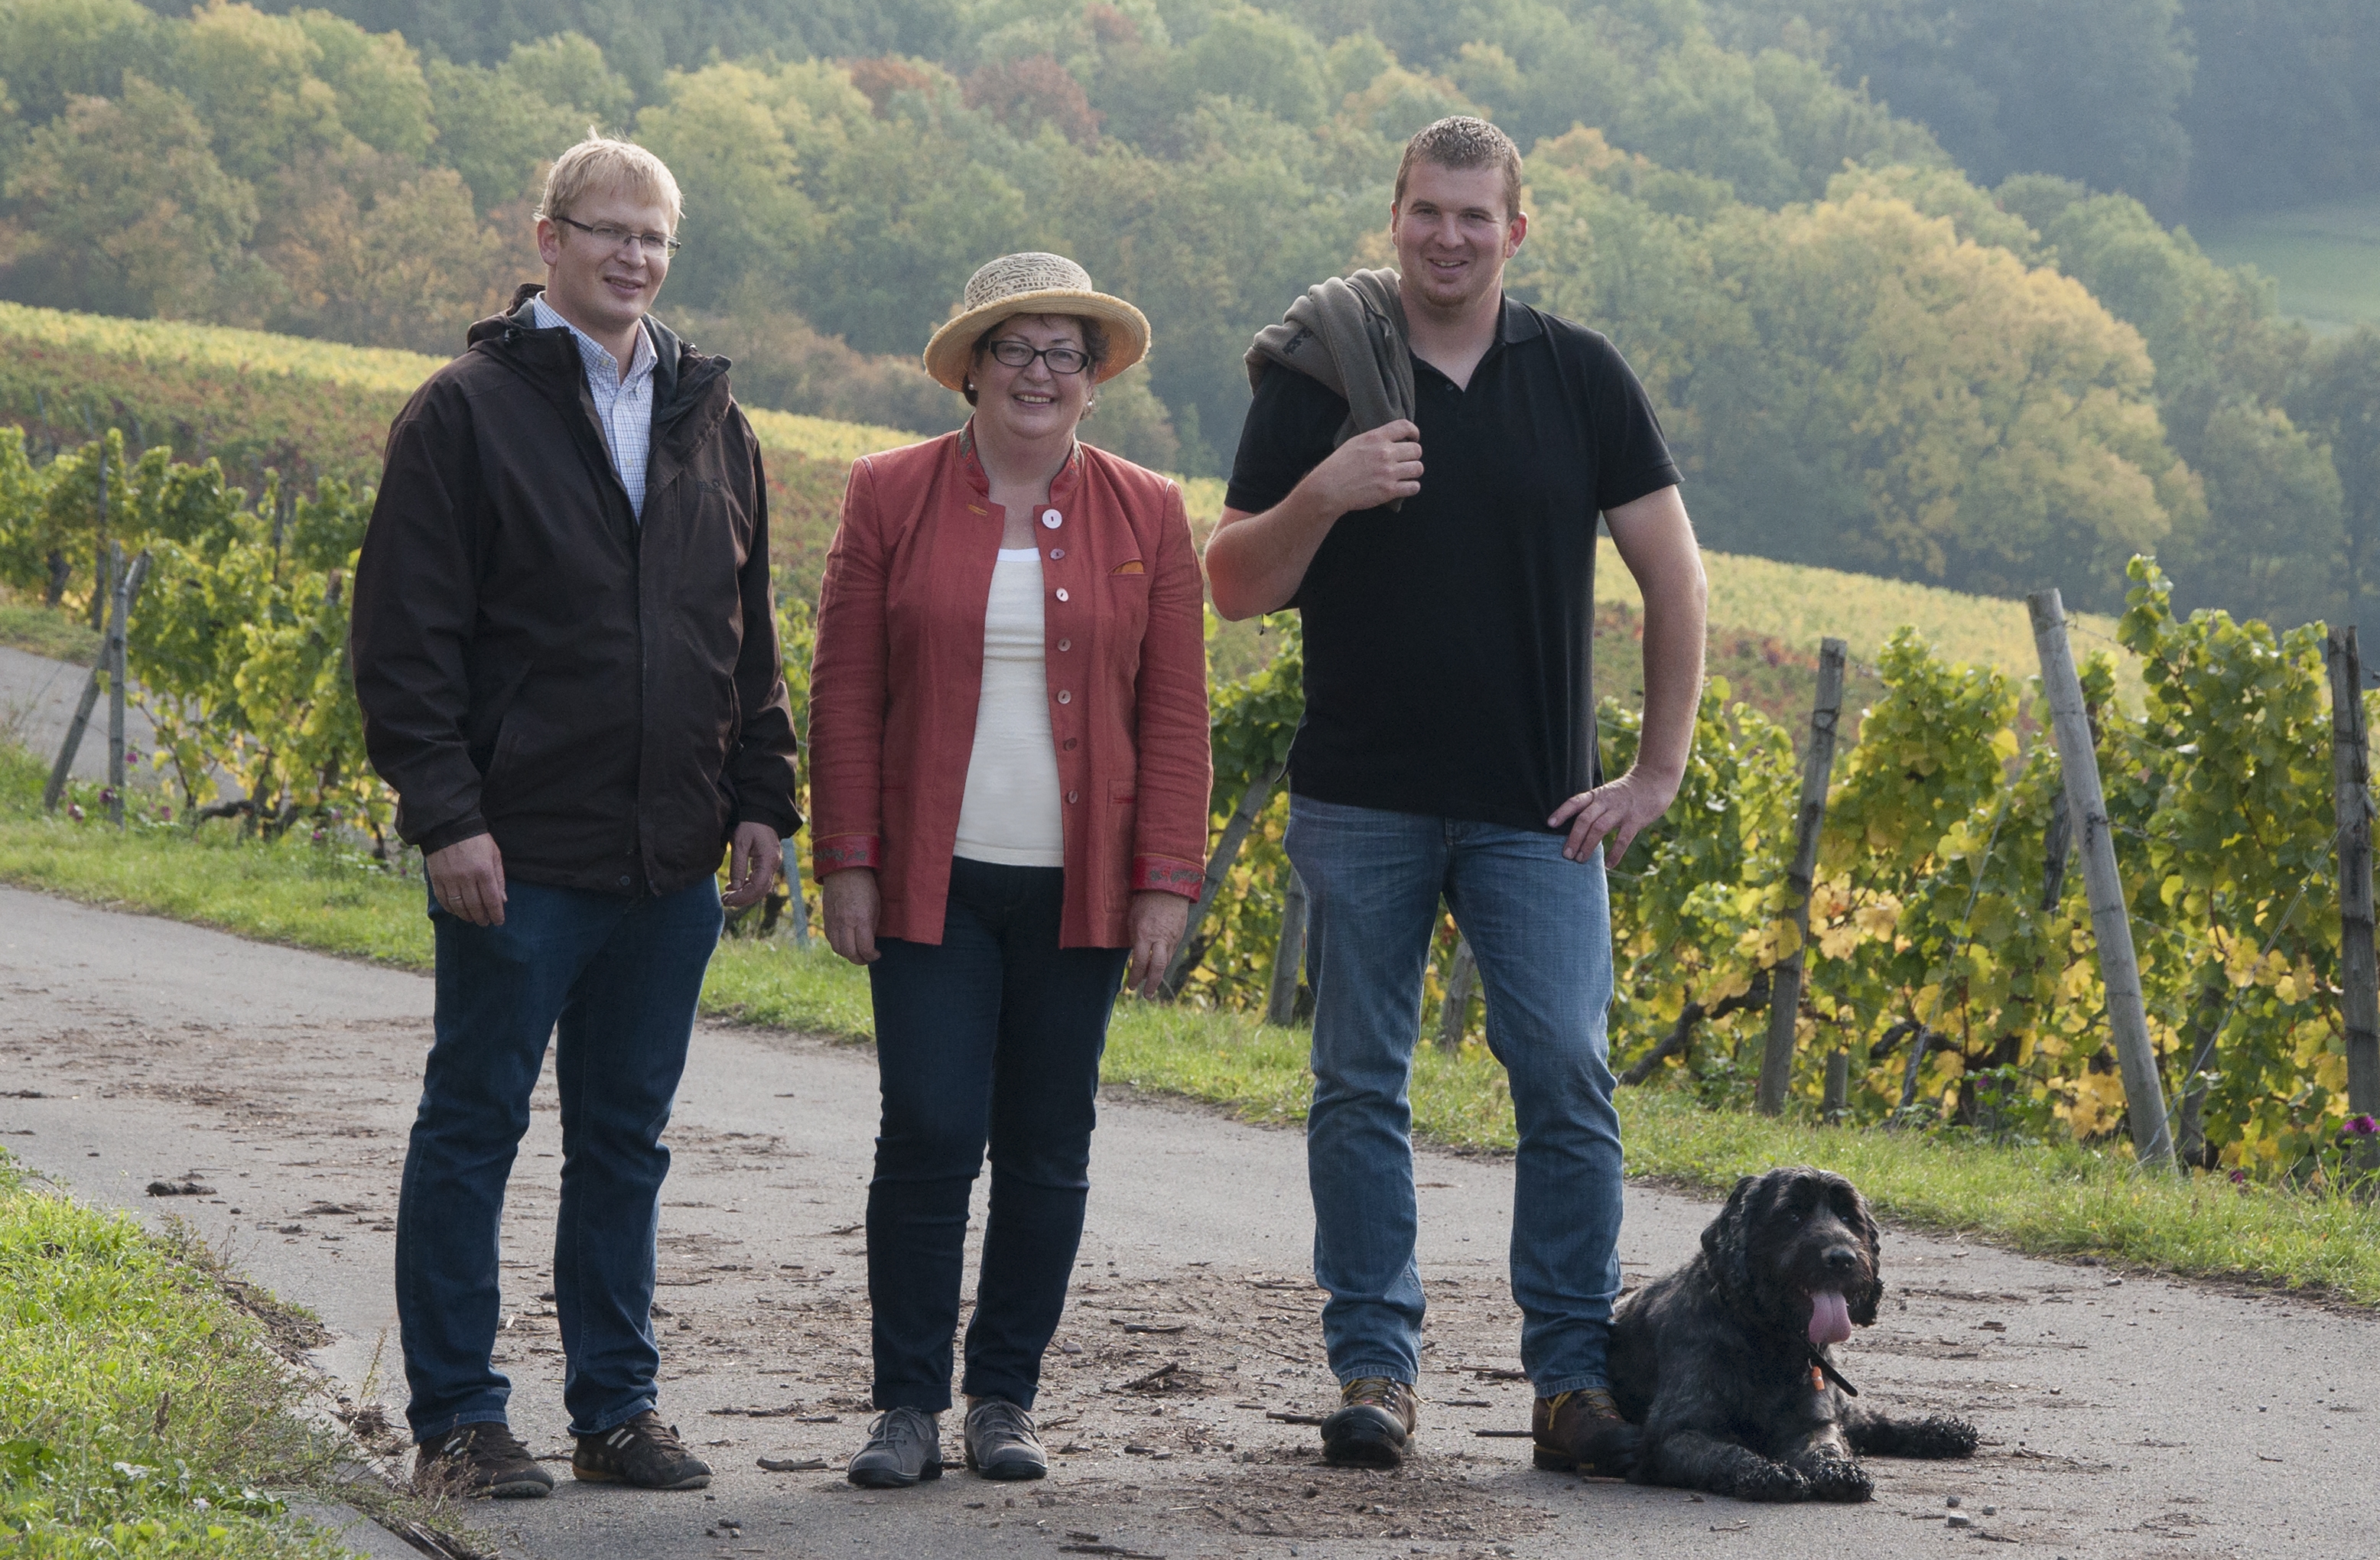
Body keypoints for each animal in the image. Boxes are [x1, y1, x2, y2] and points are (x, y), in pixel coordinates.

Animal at [1607, 1166, 1978, 1501]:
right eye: (1793, 1214)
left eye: (1848, 1216)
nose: (1843, 1258)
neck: (1770, 1341)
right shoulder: (1674, 1435)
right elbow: (1724, 1454)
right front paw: (1769, 1473)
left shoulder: (1813, 1421)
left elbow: (1827, 1446)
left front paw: (1840, 1470)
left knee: (1867, 1421)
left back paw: (1940, 1432)